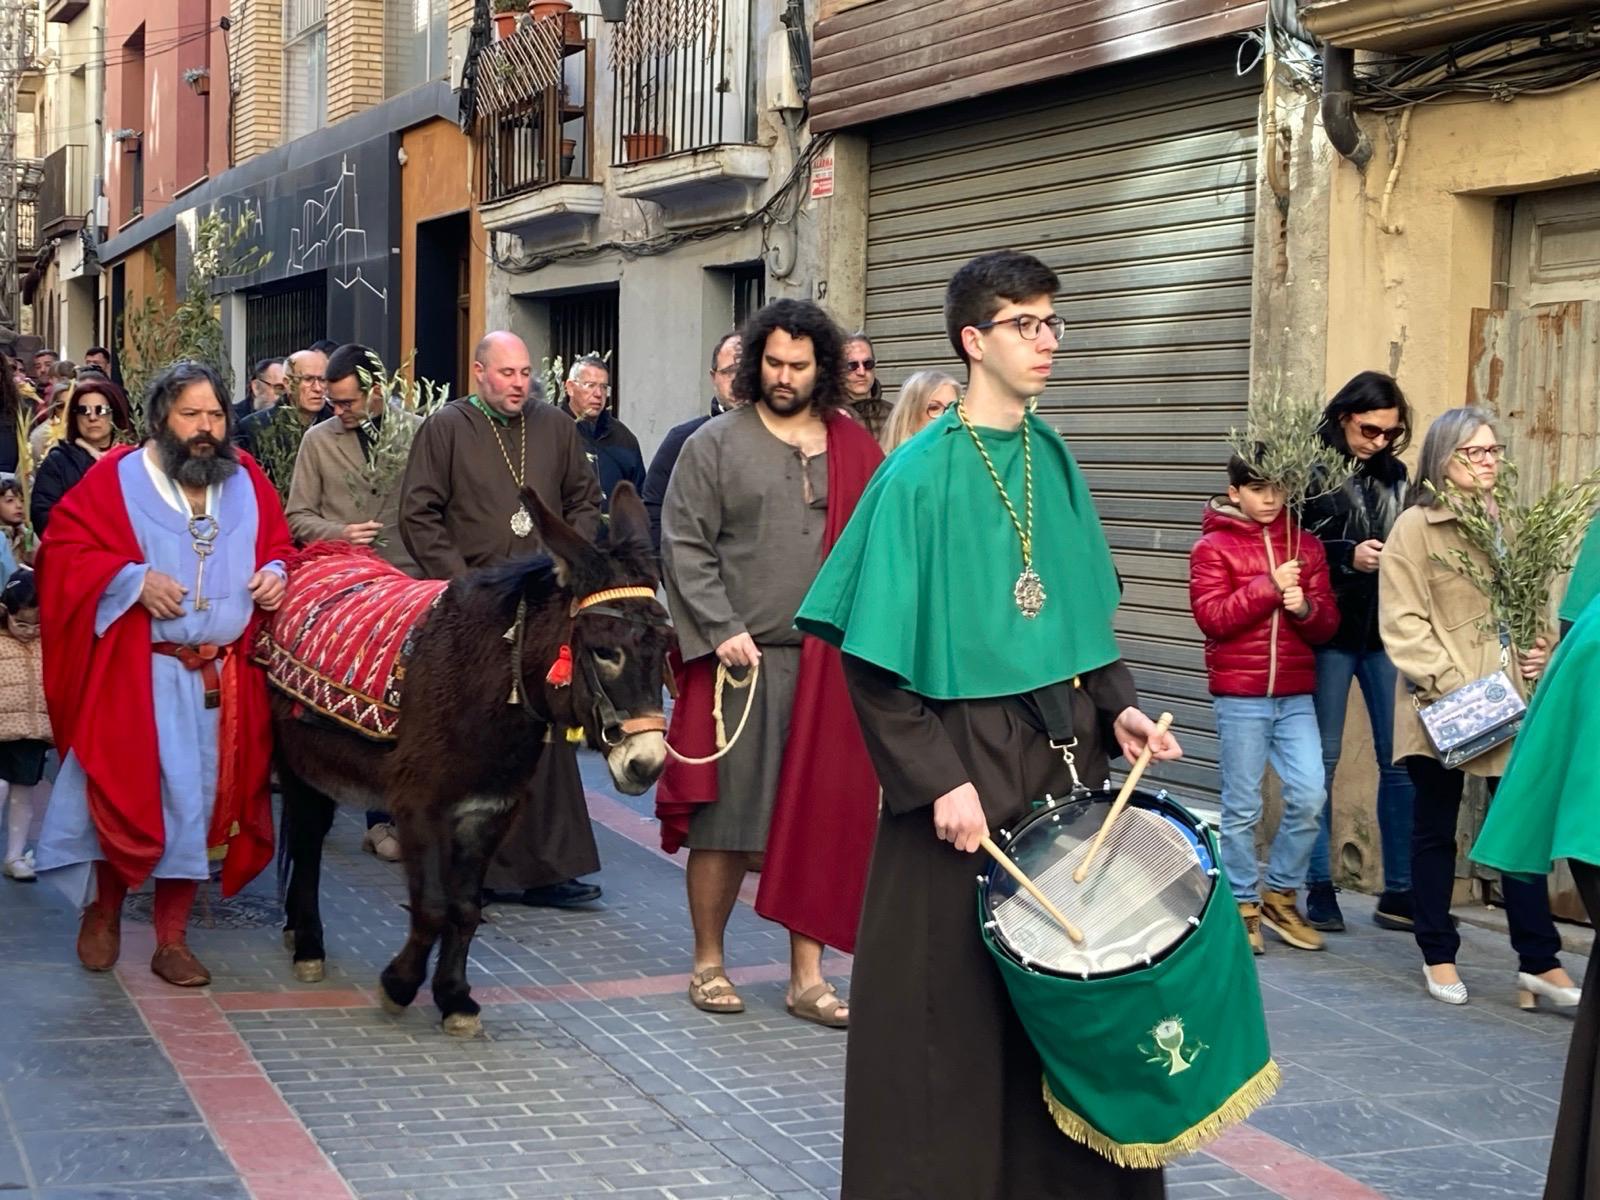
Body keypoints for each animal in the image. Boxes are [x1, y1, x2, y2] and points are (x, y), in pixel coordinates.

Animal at [268, 482, 671, 1036]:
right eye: (605, 652)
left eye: (666, 648)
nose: (646, 764)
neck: (485, 685)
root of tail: (318, 554)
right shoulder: (418, 806)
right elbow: (433, 906)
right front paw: (398, 986)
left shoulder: (492, 809)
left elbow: (465, 908)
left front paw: (455, 998)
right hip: (299, 759)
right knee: (308, 841)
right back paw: (308, 943)